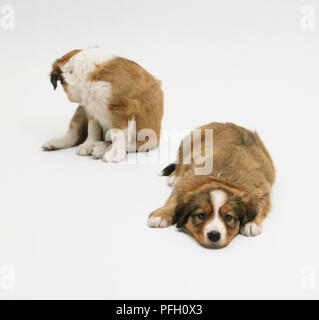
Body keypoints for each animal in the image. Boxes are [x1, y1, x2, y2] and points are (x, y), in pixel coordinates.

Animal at [149, 121, 276, 249]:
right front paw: (160, 215)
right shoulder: (184, 183)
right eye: (201, 215)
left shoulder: (262, 191)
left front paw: (251, 223)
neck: (220, 180)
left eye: (228, 217)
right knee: (180, 163)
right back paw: (174, 176)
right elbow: (173, 200)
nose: (214, 235)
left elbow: (260, 206)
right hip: (187, 144)